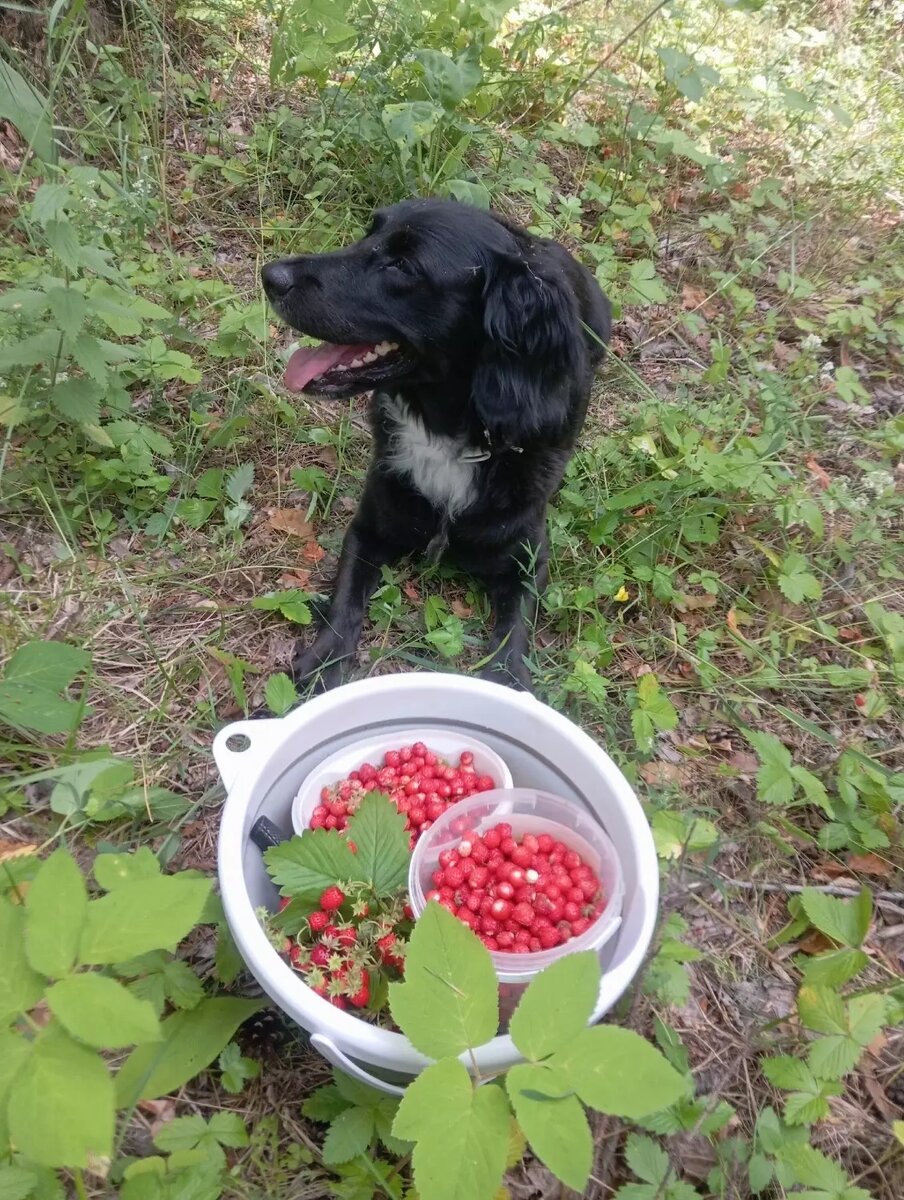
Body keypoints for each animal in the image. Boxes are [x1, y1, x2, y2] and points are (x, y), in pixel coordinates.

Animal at [264, 200, 609, 691]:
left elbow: (512, 636)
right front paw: (321, 664)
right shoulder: (367, 530)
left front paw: (509, 682)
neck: (447, 435)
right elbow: (343, 605)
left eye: (404, 265)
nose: (270, 276)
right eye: (367, 234)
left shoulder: (527, 562)